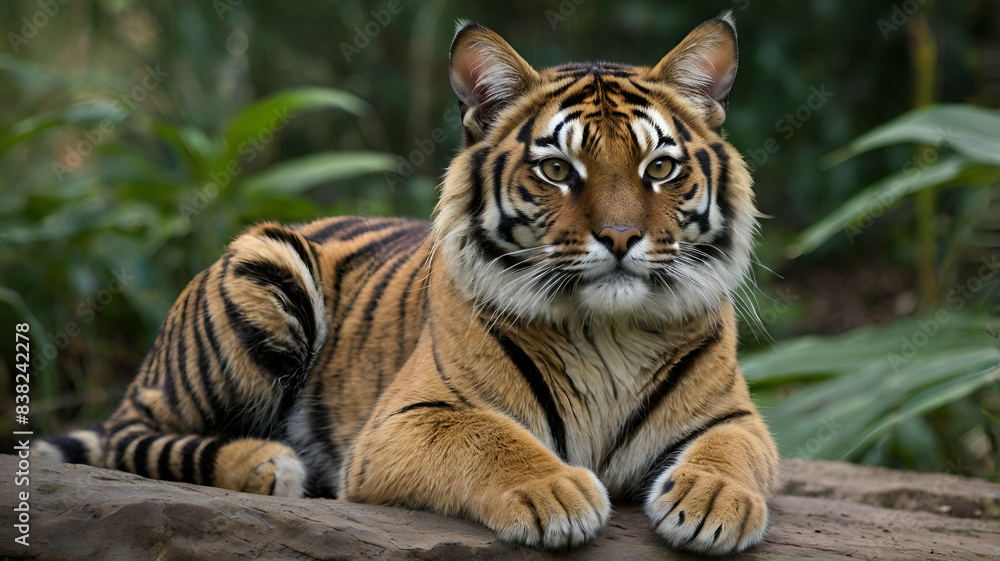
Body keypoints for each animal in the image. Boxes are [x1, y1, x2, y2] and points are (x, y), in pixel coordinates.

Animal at [37, 10, 781, 555]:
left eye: (659, 167)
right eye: (557, 170)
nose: (622, 238)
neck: (610, 330)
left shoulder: (735, 416)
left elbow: (731, 450)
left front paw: (716, 503)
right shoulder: (408, 419)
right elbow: (492, 438)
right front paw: (555, 494)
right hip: (264, 265)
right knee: (131, 433)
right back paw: (267, 465)